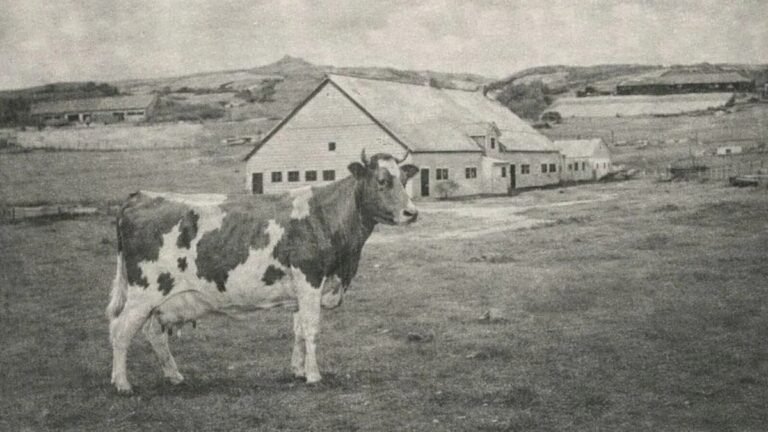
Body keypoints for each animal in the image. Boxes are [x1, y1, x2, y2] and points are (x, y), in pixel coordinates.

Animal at [106, 151, 419, 394]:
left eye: (404, 181)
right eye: (382, 181)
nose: (411, 213)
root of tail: (140, 196)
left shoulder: (301, 288)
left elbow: (298, 330)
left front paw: (298, 370)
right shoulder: (309, 278)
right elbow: (311, 329)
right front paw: (314, 375)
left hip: (164, 299)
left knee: (154, 333)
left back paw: (174, 376)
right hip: (144, 291)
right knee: (120, 329)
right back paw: (122, 384)